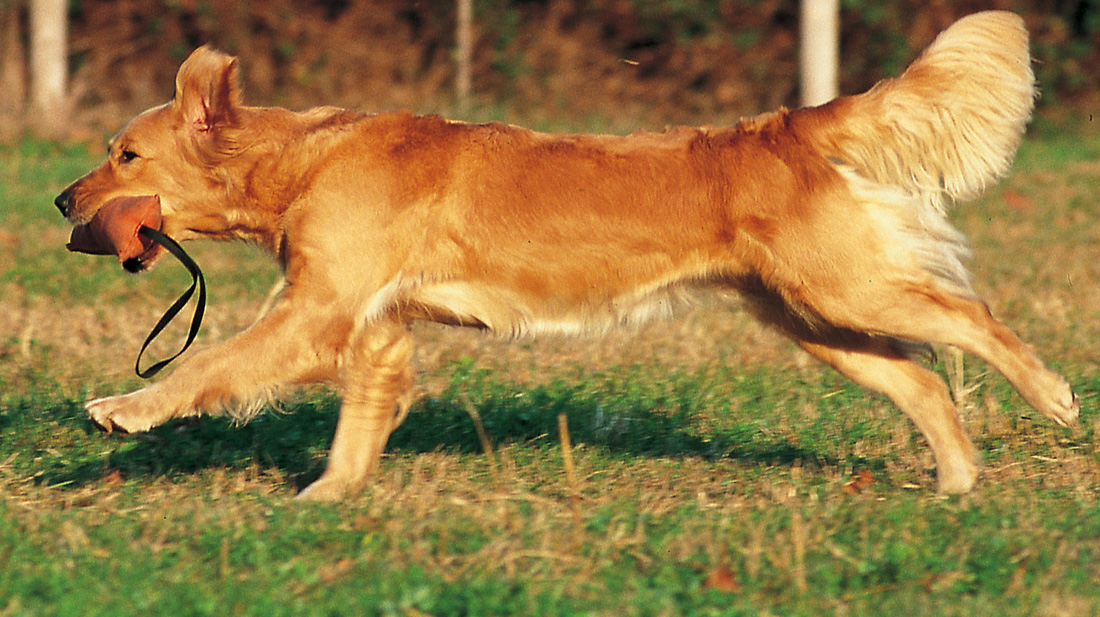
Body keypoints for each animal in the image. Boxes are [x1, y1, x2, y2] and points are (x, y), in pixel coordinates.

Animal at [55, 10, 1078, 501]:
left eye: (124, 155)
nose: (61, 201)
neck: (305, 156)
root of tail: (784, 125)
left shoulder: (318, 311)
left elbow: (213, 363)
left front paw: (123, 408)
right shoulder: (377, 330)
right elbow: (357, 426)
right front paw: (329, 496)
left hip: (849, 287)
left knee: (975, 320)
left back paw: (1055, 396)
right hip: (816, 318)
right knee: (925, 378)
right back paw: (957, 481)